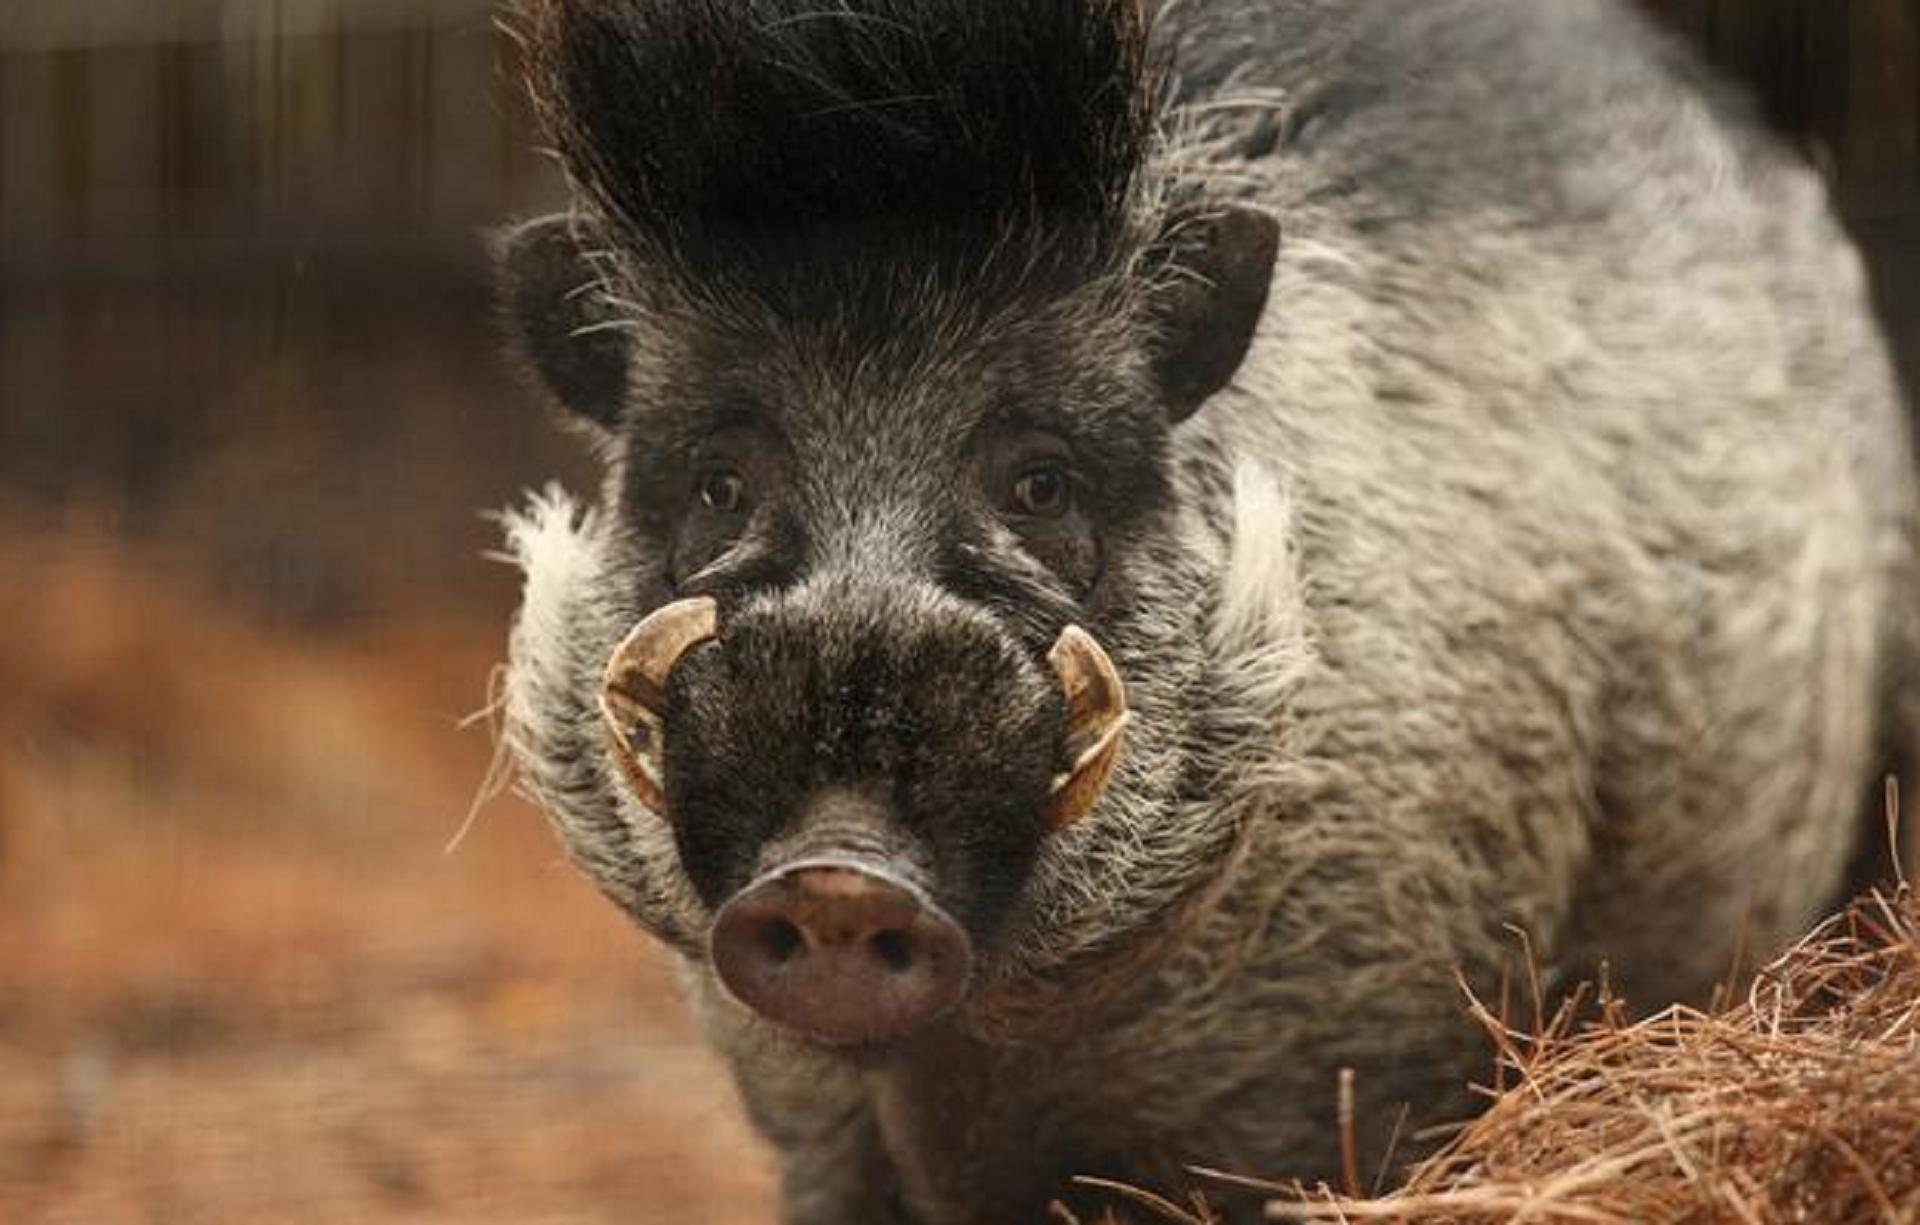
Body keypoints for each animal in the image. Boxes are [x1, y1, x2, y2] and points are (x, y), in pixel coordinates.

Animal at [499, 2, 1920, 1225]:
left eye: (1041, 478)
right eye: (718, 482)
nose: (839, 875)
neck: (965, 1068)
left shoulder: (1355, 1043)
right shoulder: (797, 1102)